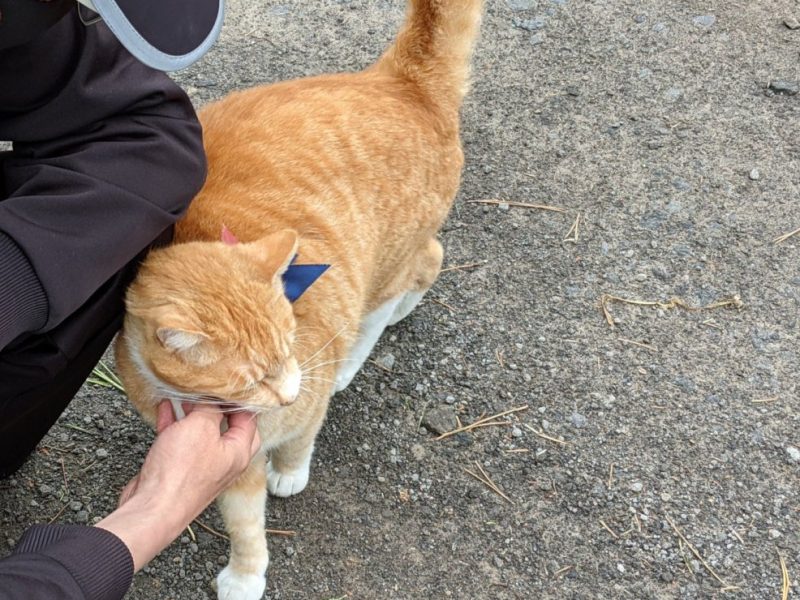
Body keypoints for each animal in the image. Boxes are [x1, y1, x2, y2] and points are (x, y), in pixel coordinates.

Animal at [114, 0, 484, 598]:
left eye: (290, 345)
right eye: (251, 378)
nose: (289, 394)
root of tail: (398, 80)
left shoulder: (305, 398)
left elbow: (299, 440)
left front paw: (288, 470)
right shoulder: (228, 460)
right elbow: (244, 523)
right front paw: (246, 573)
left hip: (389, 255)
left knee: (416, 271)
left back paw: (363, 347)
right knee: (430, 257)